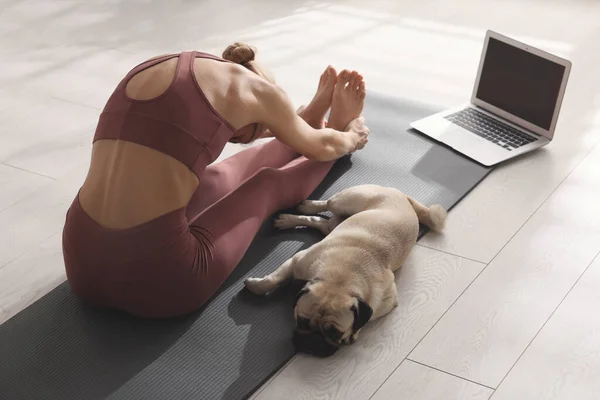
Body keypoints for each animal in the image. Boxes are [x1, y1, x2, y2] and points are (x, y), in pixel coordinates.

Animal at [243, 184, 446, 356]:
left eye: (335, 333)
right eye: (301, 320)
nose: (311, 342)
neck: (340, 279)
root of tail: (402, 196)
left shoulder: (387, 301)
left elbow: (369, 316)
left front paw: (353, 334)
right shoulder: (297, 260)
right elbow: (273, 279)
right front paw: (256, 286)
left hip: (336, 219)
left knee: (321, 221)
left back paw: (293, 217)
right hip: (343, 202)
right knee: (325, 205)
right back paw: (299, 211)